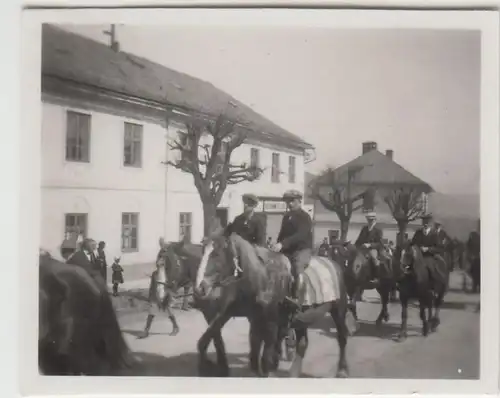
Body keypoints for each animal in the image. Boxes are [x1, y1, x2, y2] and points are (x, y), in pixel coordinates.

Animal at [193, 232, 350, 378]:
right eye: (202, 252)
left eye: (217, 254)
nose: (199, 289)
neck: (262, 280)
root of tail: (334, 264)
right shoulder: (248, 318)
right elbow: (253, 353)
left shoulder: (271, 323)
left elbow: (265, 358)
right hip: (304, 316)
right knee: (302, 343)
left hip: (339, 310)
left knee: (342, 337)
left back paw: (342, 370)